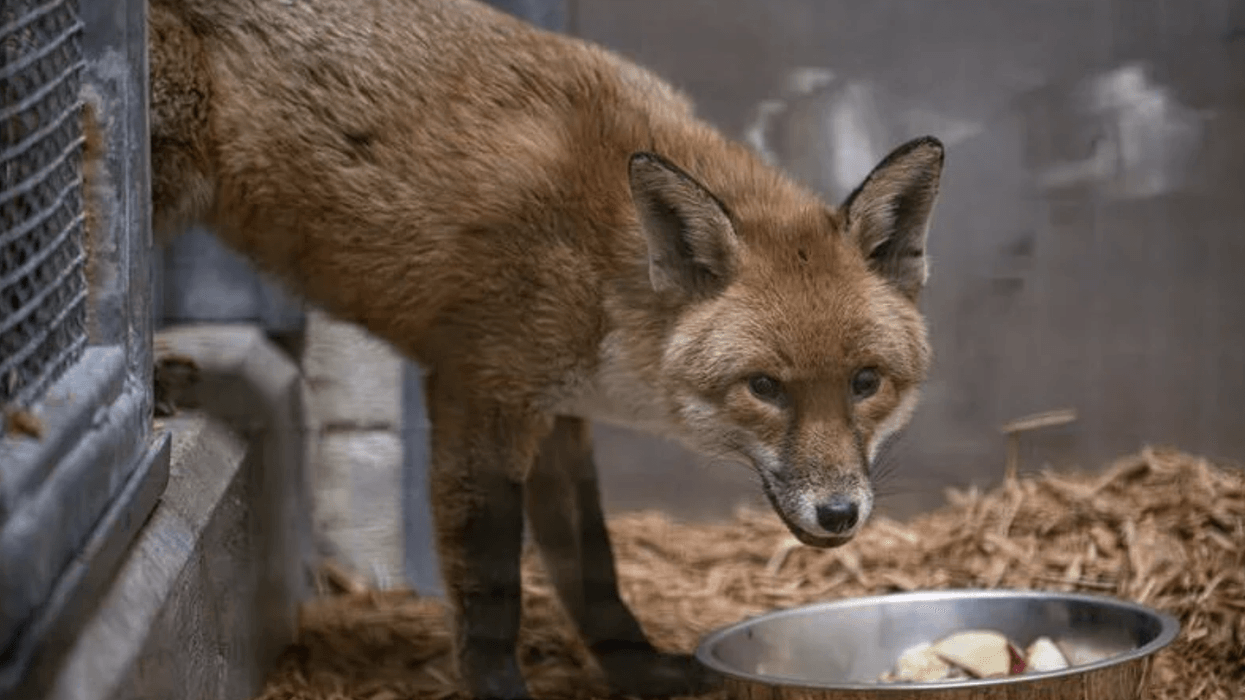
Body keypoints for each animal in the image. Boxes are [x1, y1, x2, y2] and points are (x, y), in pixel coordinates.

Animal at [146, 0, 944, 697]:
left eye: (865, 381)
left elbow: (593, 570)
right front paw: (500, 688)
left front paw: (639, 672)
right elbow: (492, 588)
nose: (839, 514)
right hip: (165, 170)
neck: (602, 270)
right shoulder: (479, 393)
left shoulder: (560, 414)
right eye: (765, 387)